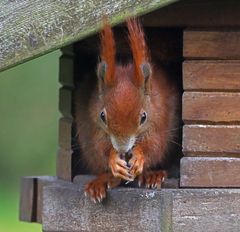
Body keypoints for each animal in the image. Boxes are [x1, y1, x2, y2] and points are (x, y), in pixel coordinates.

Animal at [74, 19, 179, 202]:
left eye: (143, 117)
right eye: (102, 116)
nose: (122, 150)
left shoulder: (160, 117)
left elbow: (155, 145)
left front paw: (139, 156)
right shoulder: (93, 122)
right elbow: (100, 146)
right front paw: (114, 159)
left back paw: (152, 175)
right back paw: (103, 181)